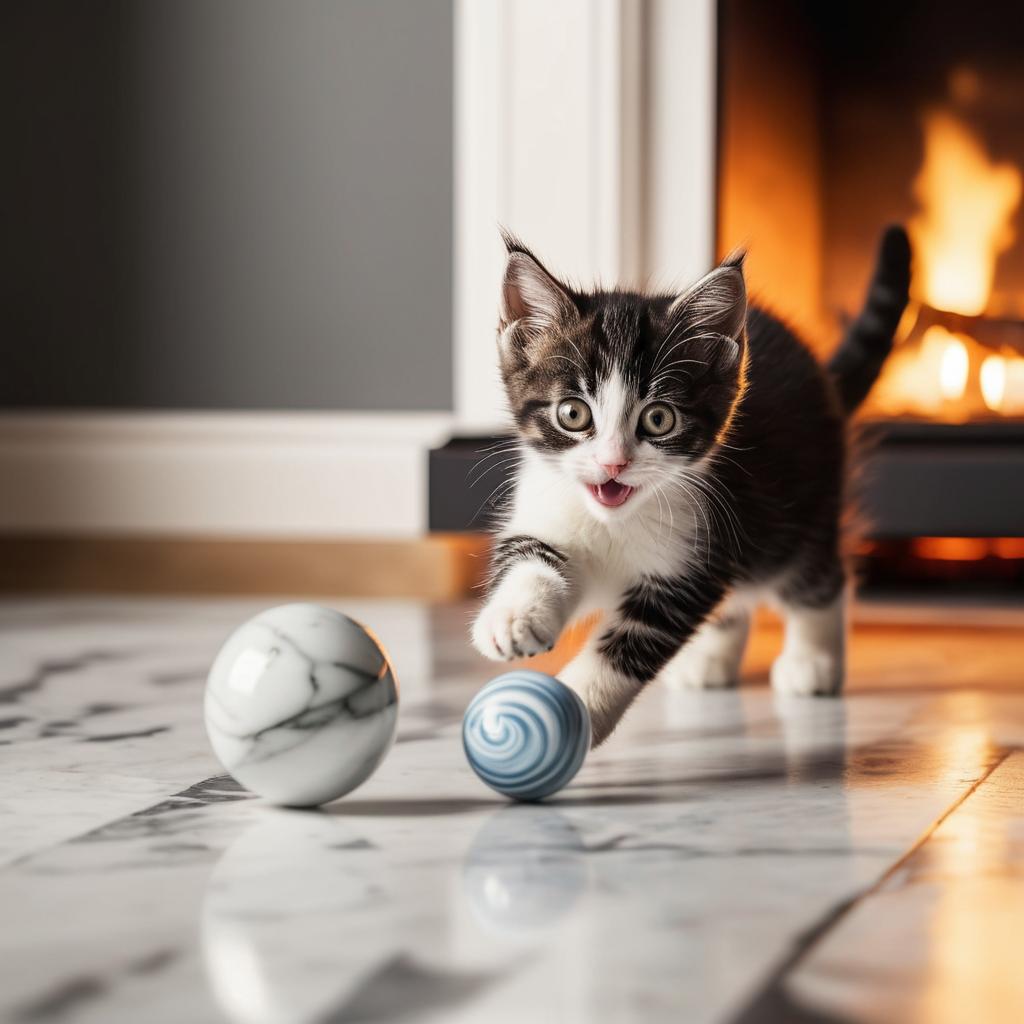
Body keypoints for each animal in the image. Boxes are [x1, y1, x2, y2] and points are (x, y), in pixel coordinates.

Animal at [471, 228, 913, 749]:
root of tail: (822, 374)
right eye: (572, 413)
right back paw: (710, 660)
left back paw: (813, 662)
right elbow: (531, 555)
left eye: (658, 419)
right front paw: (514, 617)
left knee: (818, 577)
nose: (613, 462)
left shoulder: (694, 559)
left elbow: (631, 645)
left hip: (801, 508)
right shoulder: (548, 507)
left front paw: (577, 709)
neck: (616, 522)